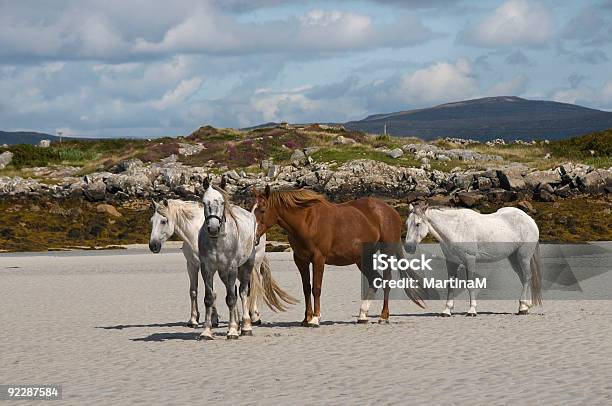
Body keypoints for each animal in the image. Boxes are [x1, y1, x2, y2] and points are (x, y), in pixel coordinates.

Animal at [149, 200, 296, 330]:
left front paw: (214, 320)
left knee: (255, 285)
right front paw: (194, 320)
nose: (153, 246)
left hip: (254, 265)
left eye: (163, 221)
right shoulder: (192, 265)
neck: (195, 233)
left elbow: (213, 292)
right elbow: (193, 291)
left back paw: (254, 317)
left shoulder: (210, 267)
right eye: (151, 220)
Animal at [253, 186, 426, 326]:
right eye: (253, 210)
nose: (254, 238)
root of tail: (391, 212)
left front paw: (315, 318)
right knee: (374, 279)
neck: (307, 221)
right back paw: (362, 315)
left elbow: (316, 288)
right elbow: (306, 288)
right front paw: (306, 318)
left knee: (386, 280)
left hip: (386, 253)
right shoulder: (300, 260)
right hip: (363, 258)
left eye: (262, 210)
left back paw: (383, 316)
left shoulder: (318, 259)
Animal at [406, 205, 540, 316]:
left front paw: (472, 310)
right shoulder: (451, 262)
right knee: (523, 278)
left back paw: (522, 308)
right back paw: (525, 307)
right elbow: (451, 285)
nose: (408, 247)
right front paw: (447, 310)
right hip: (514, 258)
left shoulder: (470, 260)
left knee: (527, 277)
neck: (456, 228)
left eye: (417, 224)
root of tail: (529, 219)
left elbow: (470, 284)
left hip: (523, 256)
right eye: (407, 224)